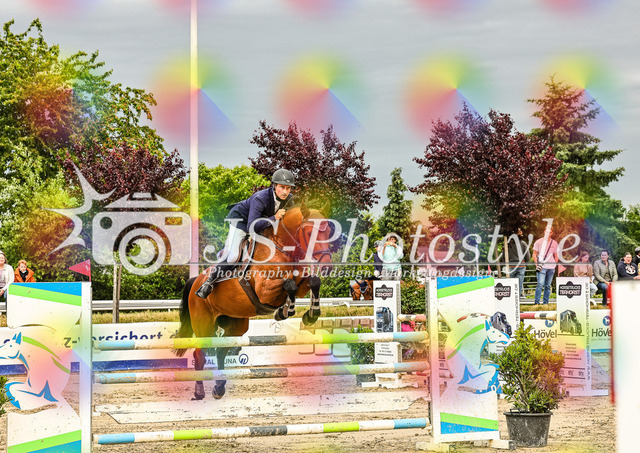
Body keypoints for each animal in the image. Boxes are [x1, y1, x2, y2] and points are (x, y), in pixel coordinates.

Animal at [174, 202, 335, 400]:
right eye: (308, 232)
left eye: (329, 231)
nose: (327, 266)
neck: (283, 248)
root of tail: (195, 281)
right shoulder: (265, 290)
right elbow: (289, 284)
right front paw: (285, 310)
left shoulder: (302, 282)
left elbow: (313, 281)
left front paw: (310, 315)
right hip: (204, 325)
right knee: (199, 354)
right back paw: (199, 391)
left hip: (236, 325)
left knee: (220, 351)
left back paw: (219, 388)